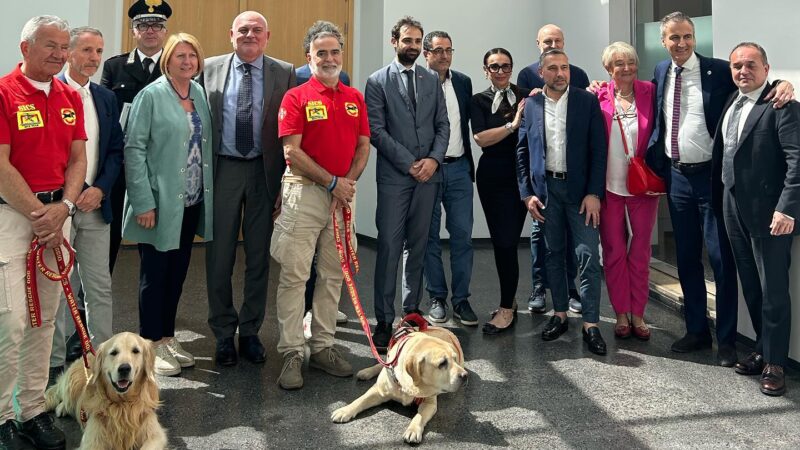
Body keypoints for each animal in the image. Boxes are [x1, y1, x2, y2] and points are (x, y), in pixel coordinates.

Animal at [332, 326, 468, 444]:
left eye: (454, 359)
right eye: (442, 363)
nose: (465, 376)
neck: (408, 385)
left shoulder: (429, 403)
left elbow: (419, 416)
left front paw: (413, 430)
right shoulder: (378, 391)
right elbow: (360, 400)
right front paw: (345, 410)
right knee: (382, 363)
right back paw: (367, 372)